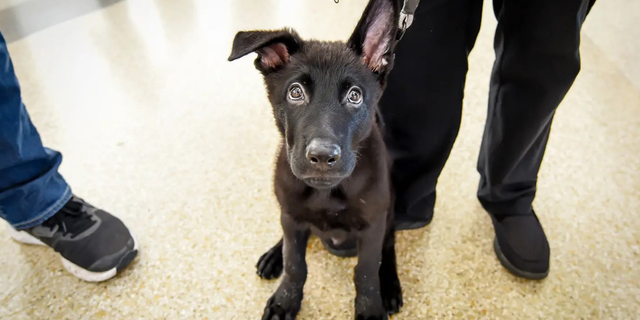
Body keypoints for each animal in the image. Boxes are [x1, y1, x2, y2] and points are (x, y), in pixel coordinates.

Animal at [229, 0, 400, 318]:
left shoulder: (373, 226)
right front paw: (285, 300)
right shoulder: (292, 217)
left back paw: (391, 283)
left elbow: (367, 271)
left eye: (355, 96)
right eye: (296, 92)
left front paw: (371, 306)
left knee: (390, 244)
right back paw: (273, 255)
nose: (322, 156)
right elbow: (295, 264)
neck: (326, 192)